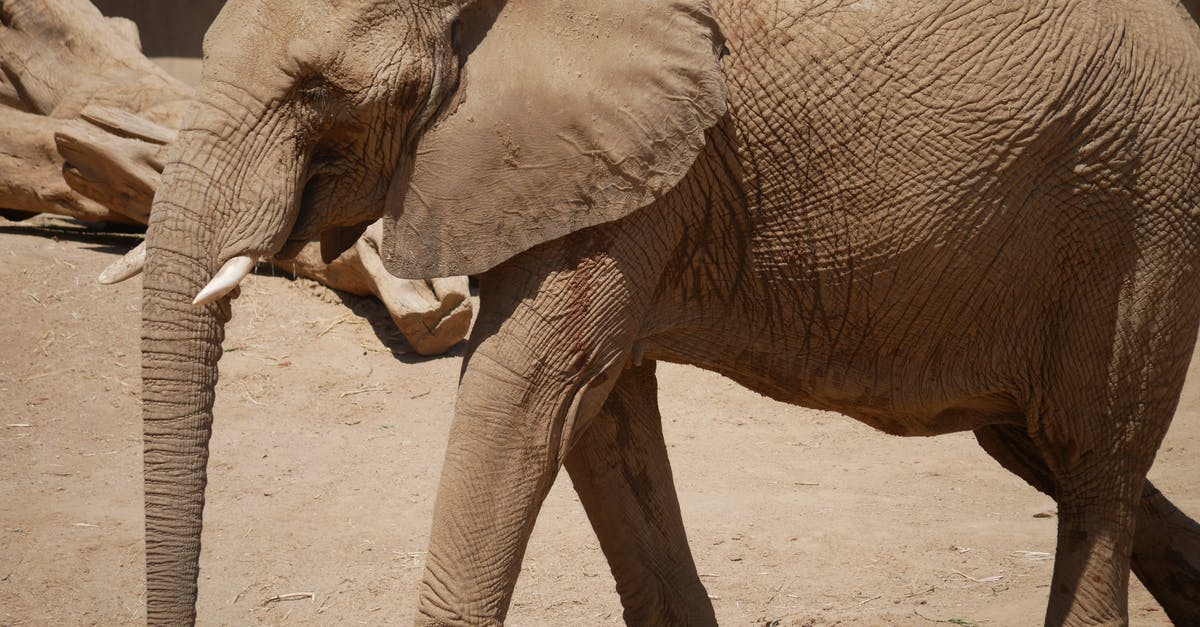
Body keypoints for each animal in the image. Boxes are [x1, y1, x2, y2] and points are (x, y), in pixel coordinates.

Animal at [136, 0, 1200, 619]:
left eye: (319, 89)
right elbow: (602, 413)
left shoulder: (613, 155)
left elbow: (528, 388)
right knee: (1037, 447)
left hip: (1143, 218)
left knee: (1094, 466)